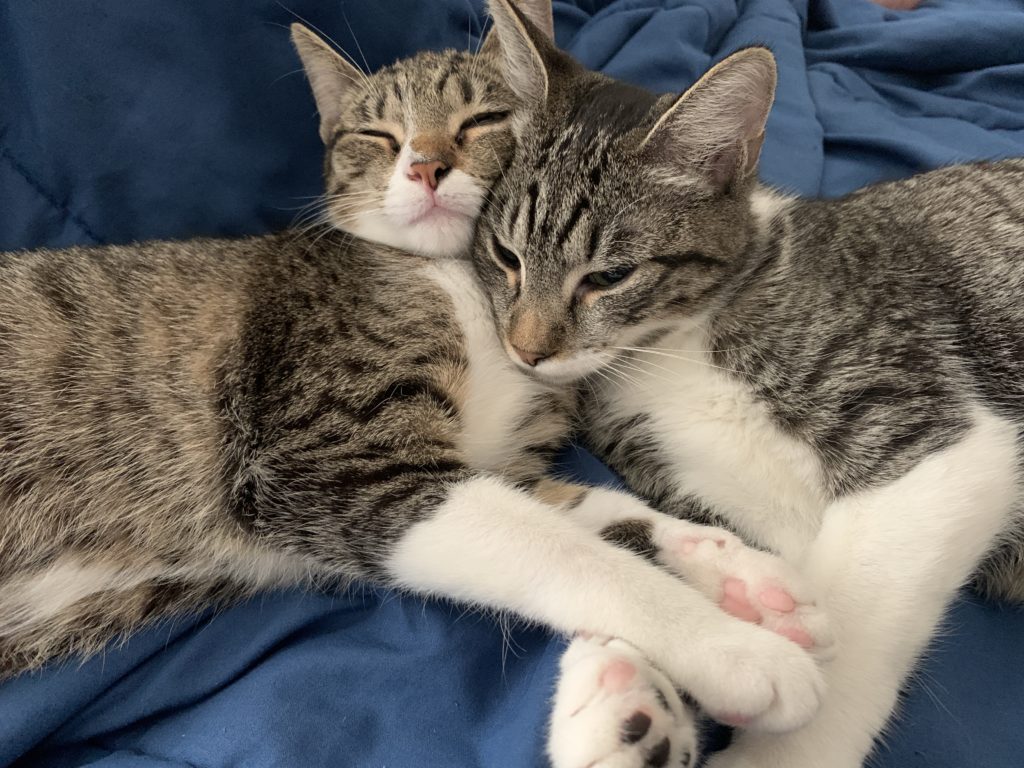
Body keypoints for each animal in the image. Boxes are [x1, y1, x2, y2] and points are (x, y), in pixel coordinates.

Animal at [0, 4, 835, 768]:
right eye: (377, 137)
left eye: (483, 119)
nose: (427, 166)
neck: (461, 285)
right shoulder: (321, 459)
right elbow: (554, 547)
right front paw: (734, 649)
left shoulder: (500, 462)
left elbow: (594, 512)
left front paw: (744, 573)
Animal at [475, 3, 1024, 765]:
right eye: (506, 256)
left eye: (609, 277)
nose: (527, 349)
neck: (671, 346)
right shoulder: (716, 489)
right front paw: (626, 700)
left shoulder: (938, 437)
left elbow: (858, 619)